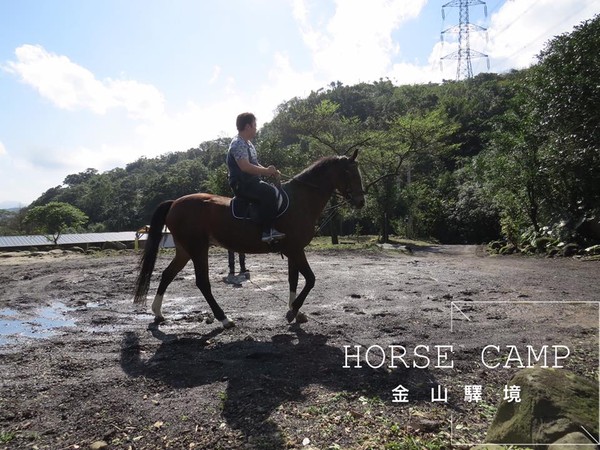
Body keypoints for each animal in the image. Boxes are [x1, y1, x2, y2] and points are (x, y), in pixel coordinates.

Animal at [133, 149, 364, 328]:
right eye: (349, 172)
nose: (361, 201)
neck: (300, 201)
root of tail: (174, 203)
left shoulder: (293, 250)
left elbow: (294, 280)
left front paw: (295, 312)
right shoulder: (296, 250)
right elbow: (310, 279)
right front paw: (292, 312)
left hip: (184, 250)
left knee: (167, 275)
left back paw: (158, 313)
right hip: (197, 249)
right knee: (202, 283)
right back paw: (224, 319)